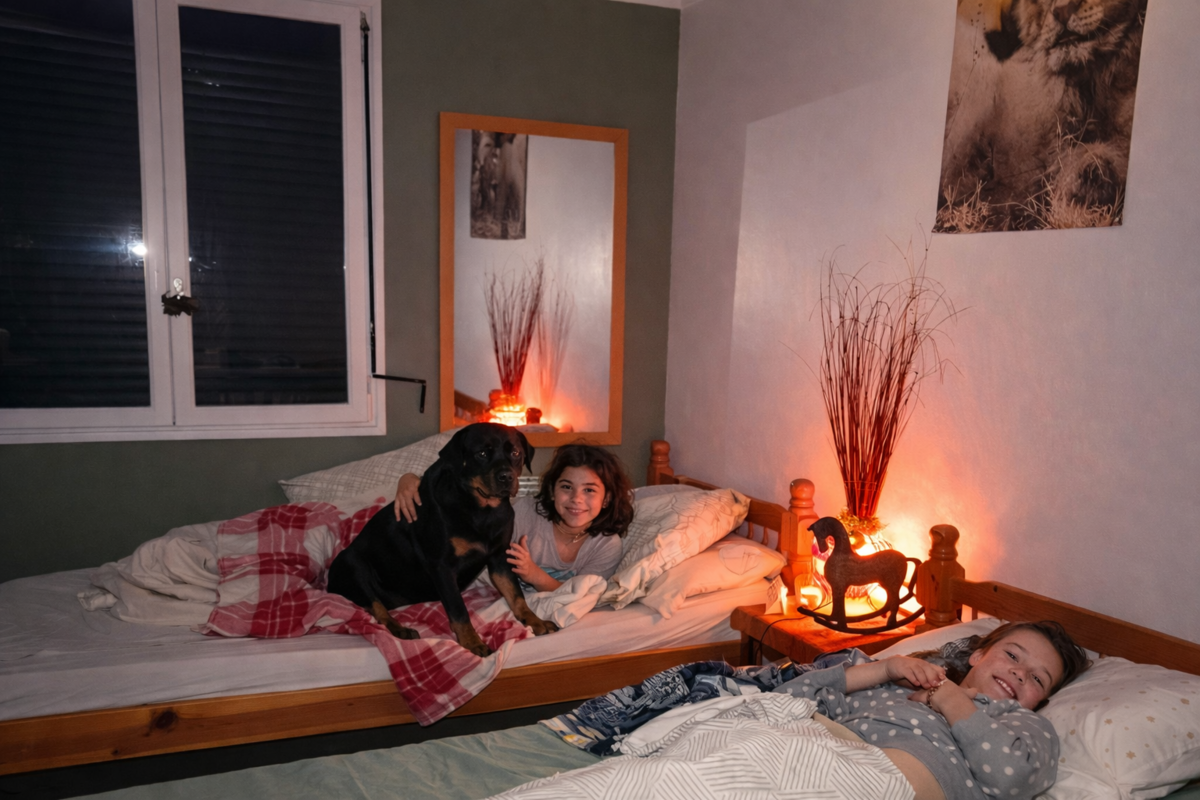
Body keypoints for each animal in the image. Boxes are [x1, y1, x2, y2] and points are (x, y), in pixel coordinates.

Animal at [327, 423, 558, 656]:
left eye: (516, 453)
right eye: (482, 453)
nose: (507, 477)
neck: (482, 511)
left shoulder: (499, 559)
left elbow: (516, 595)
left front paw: (535, 621)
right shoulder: (442, 566)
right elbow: (458, 609)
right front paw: (472, 642)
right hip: (353, 565)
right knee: (377, 608)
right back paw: (401, 629)